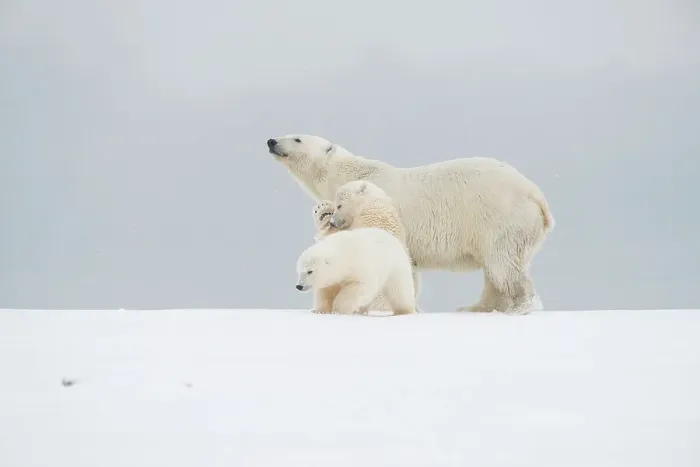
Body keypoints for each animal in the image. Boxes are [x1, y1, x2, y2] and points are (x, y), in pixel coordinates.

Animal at [309, 180, 421, 314]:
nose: (333, 222)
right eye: (336, 206)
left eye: (339, 205)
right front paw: (323, 210)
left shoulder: (368, 221)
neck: (371, 205)